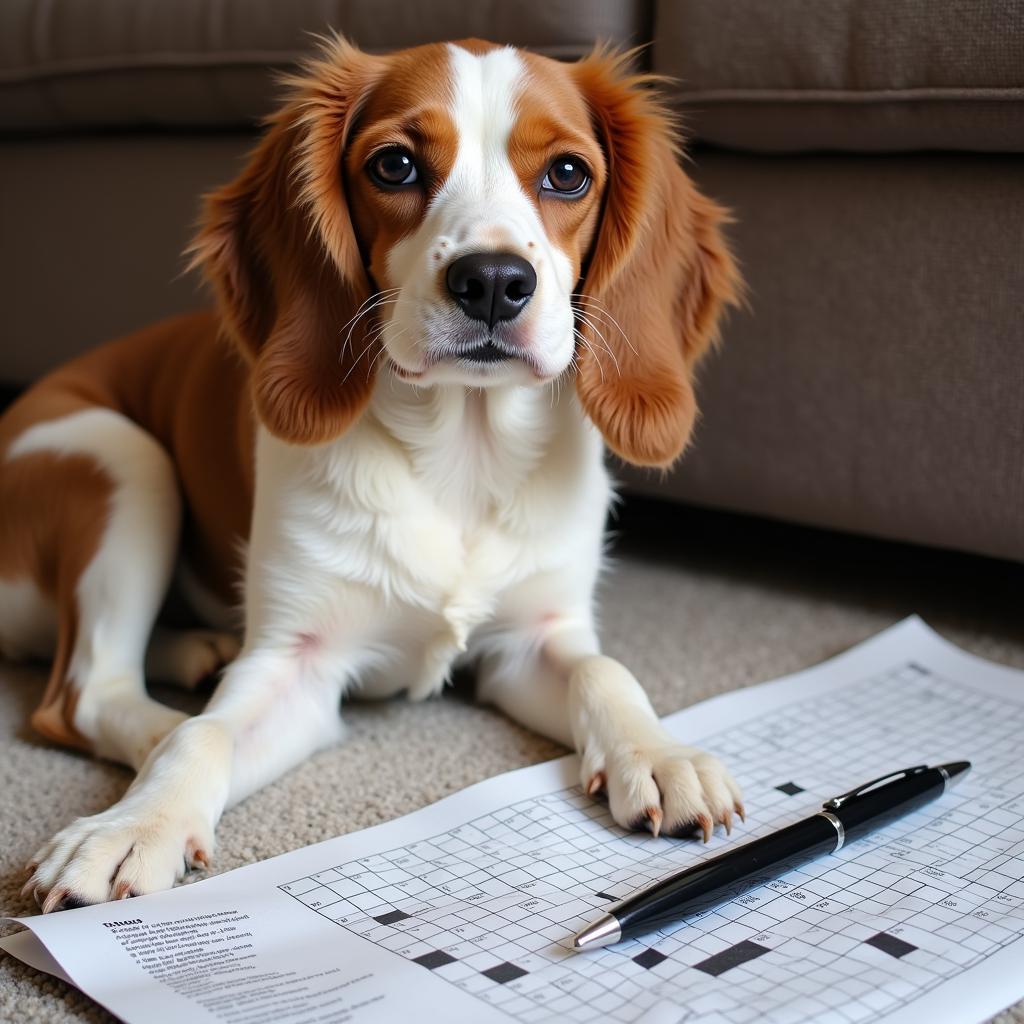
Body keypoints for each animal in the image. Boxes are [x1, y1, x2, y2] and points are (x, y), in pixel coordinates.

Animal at [0, 37, 737, 913]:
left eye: (567, 174)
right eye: (395, 165)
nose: (493, 281)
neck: (462, 459)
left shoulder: (536, 637)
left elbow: (605, 670)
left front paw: (659, 753)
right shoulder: (300, 661)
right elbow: (204, 734)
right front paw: (134, 824)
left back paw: (191, 650)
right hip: (122, 460)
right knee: (82, 697)